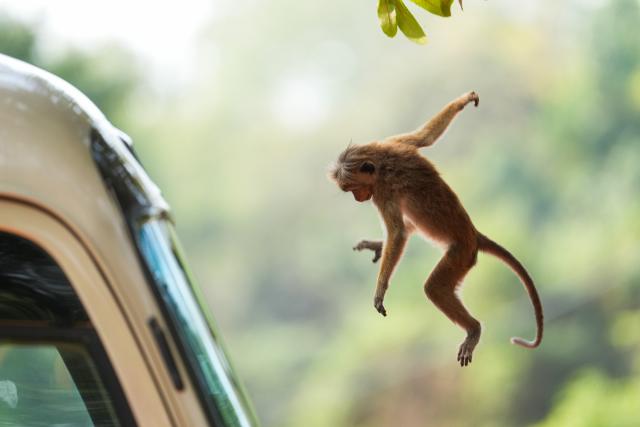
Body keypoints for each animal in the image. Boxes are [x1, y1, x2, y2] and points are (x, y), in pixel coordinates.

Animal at [329, 91, 543, 366]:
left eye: (353, 188)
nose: (357, 199)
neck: (381, 161)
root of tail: (474, 235)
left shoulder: (383, 190)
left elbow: (397, 232)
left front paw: (380, 289)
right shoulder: (394, 142)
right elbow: (424, 137)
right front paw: (464, 100)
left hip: (461, 255)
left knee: (434, 287)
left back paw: (473, 329)